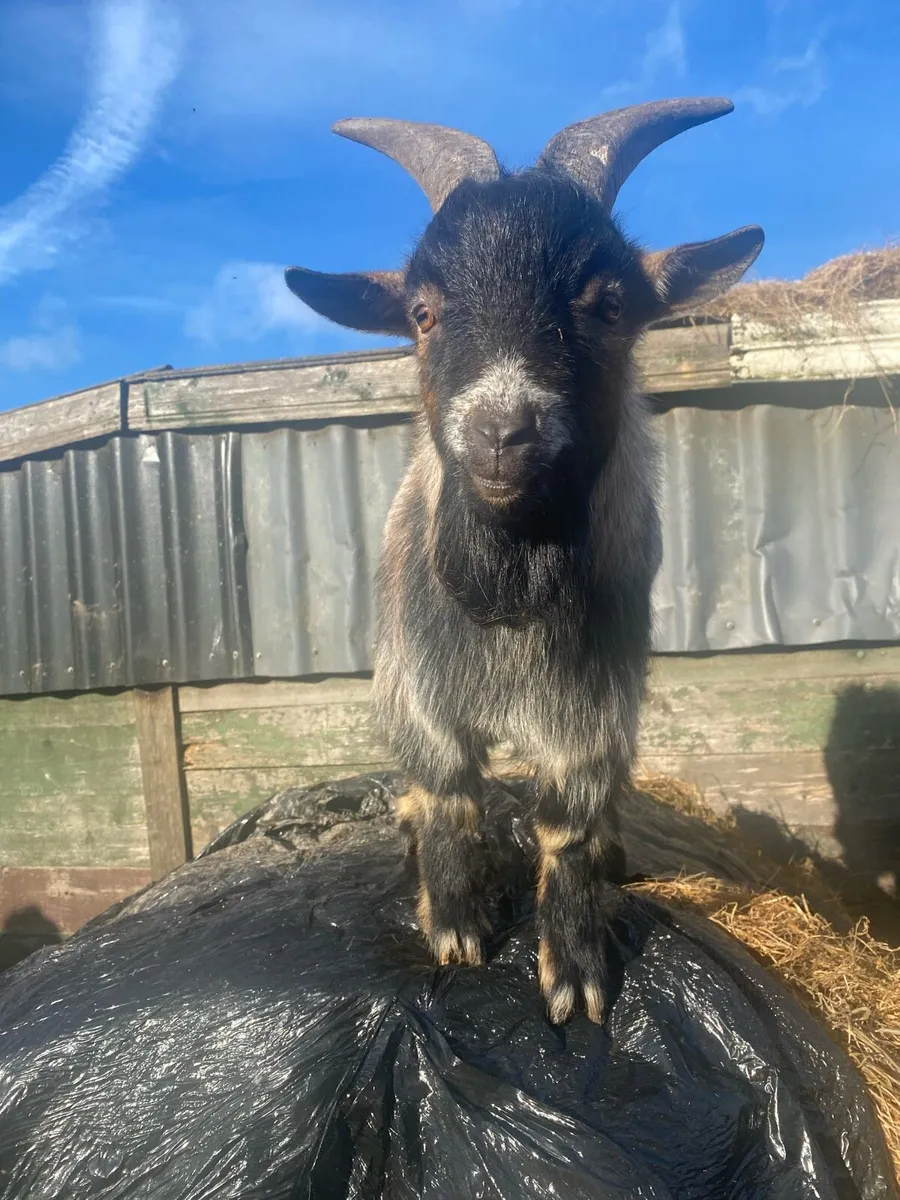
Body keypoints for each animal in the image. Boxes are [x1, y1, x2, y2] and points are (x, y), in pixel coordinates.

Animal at [285, 99, 763, 1024]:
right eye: (423, 312)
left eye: (609, 304)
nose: (501, 432)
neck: (506, 596)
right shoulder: (418, 685)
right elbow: (447, 791)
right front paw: (454, 925)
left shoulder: (597, 704)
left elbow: (567, 822)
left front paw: (575, 971)